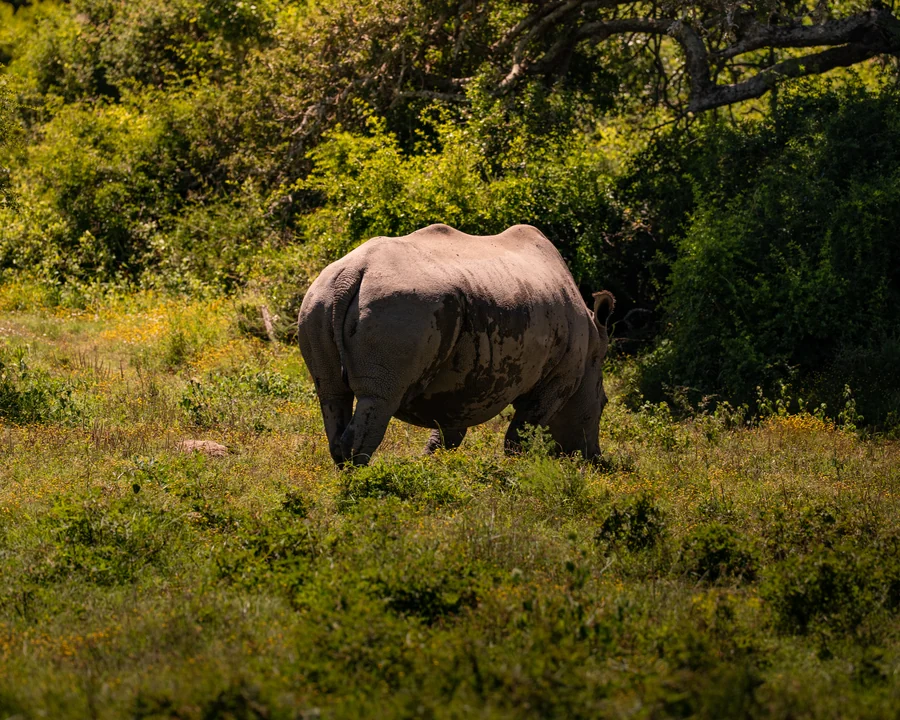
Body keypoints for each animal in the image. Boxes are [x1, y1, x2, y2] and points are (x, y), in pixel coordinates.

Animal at [298, 224, 614, 466]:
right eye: (604, 404)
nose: (594, 458)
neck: (593, 344)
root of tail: (353, 272)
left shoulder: (463, 382)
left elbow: (449, 431)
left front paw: (433, 467)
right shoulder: (559, 378)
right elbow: (521, 434)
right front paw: (519, 472)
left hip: (319, 298)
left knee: (331, 394)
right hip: (399, 306)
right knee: (379, 399)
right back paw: (360, 485)